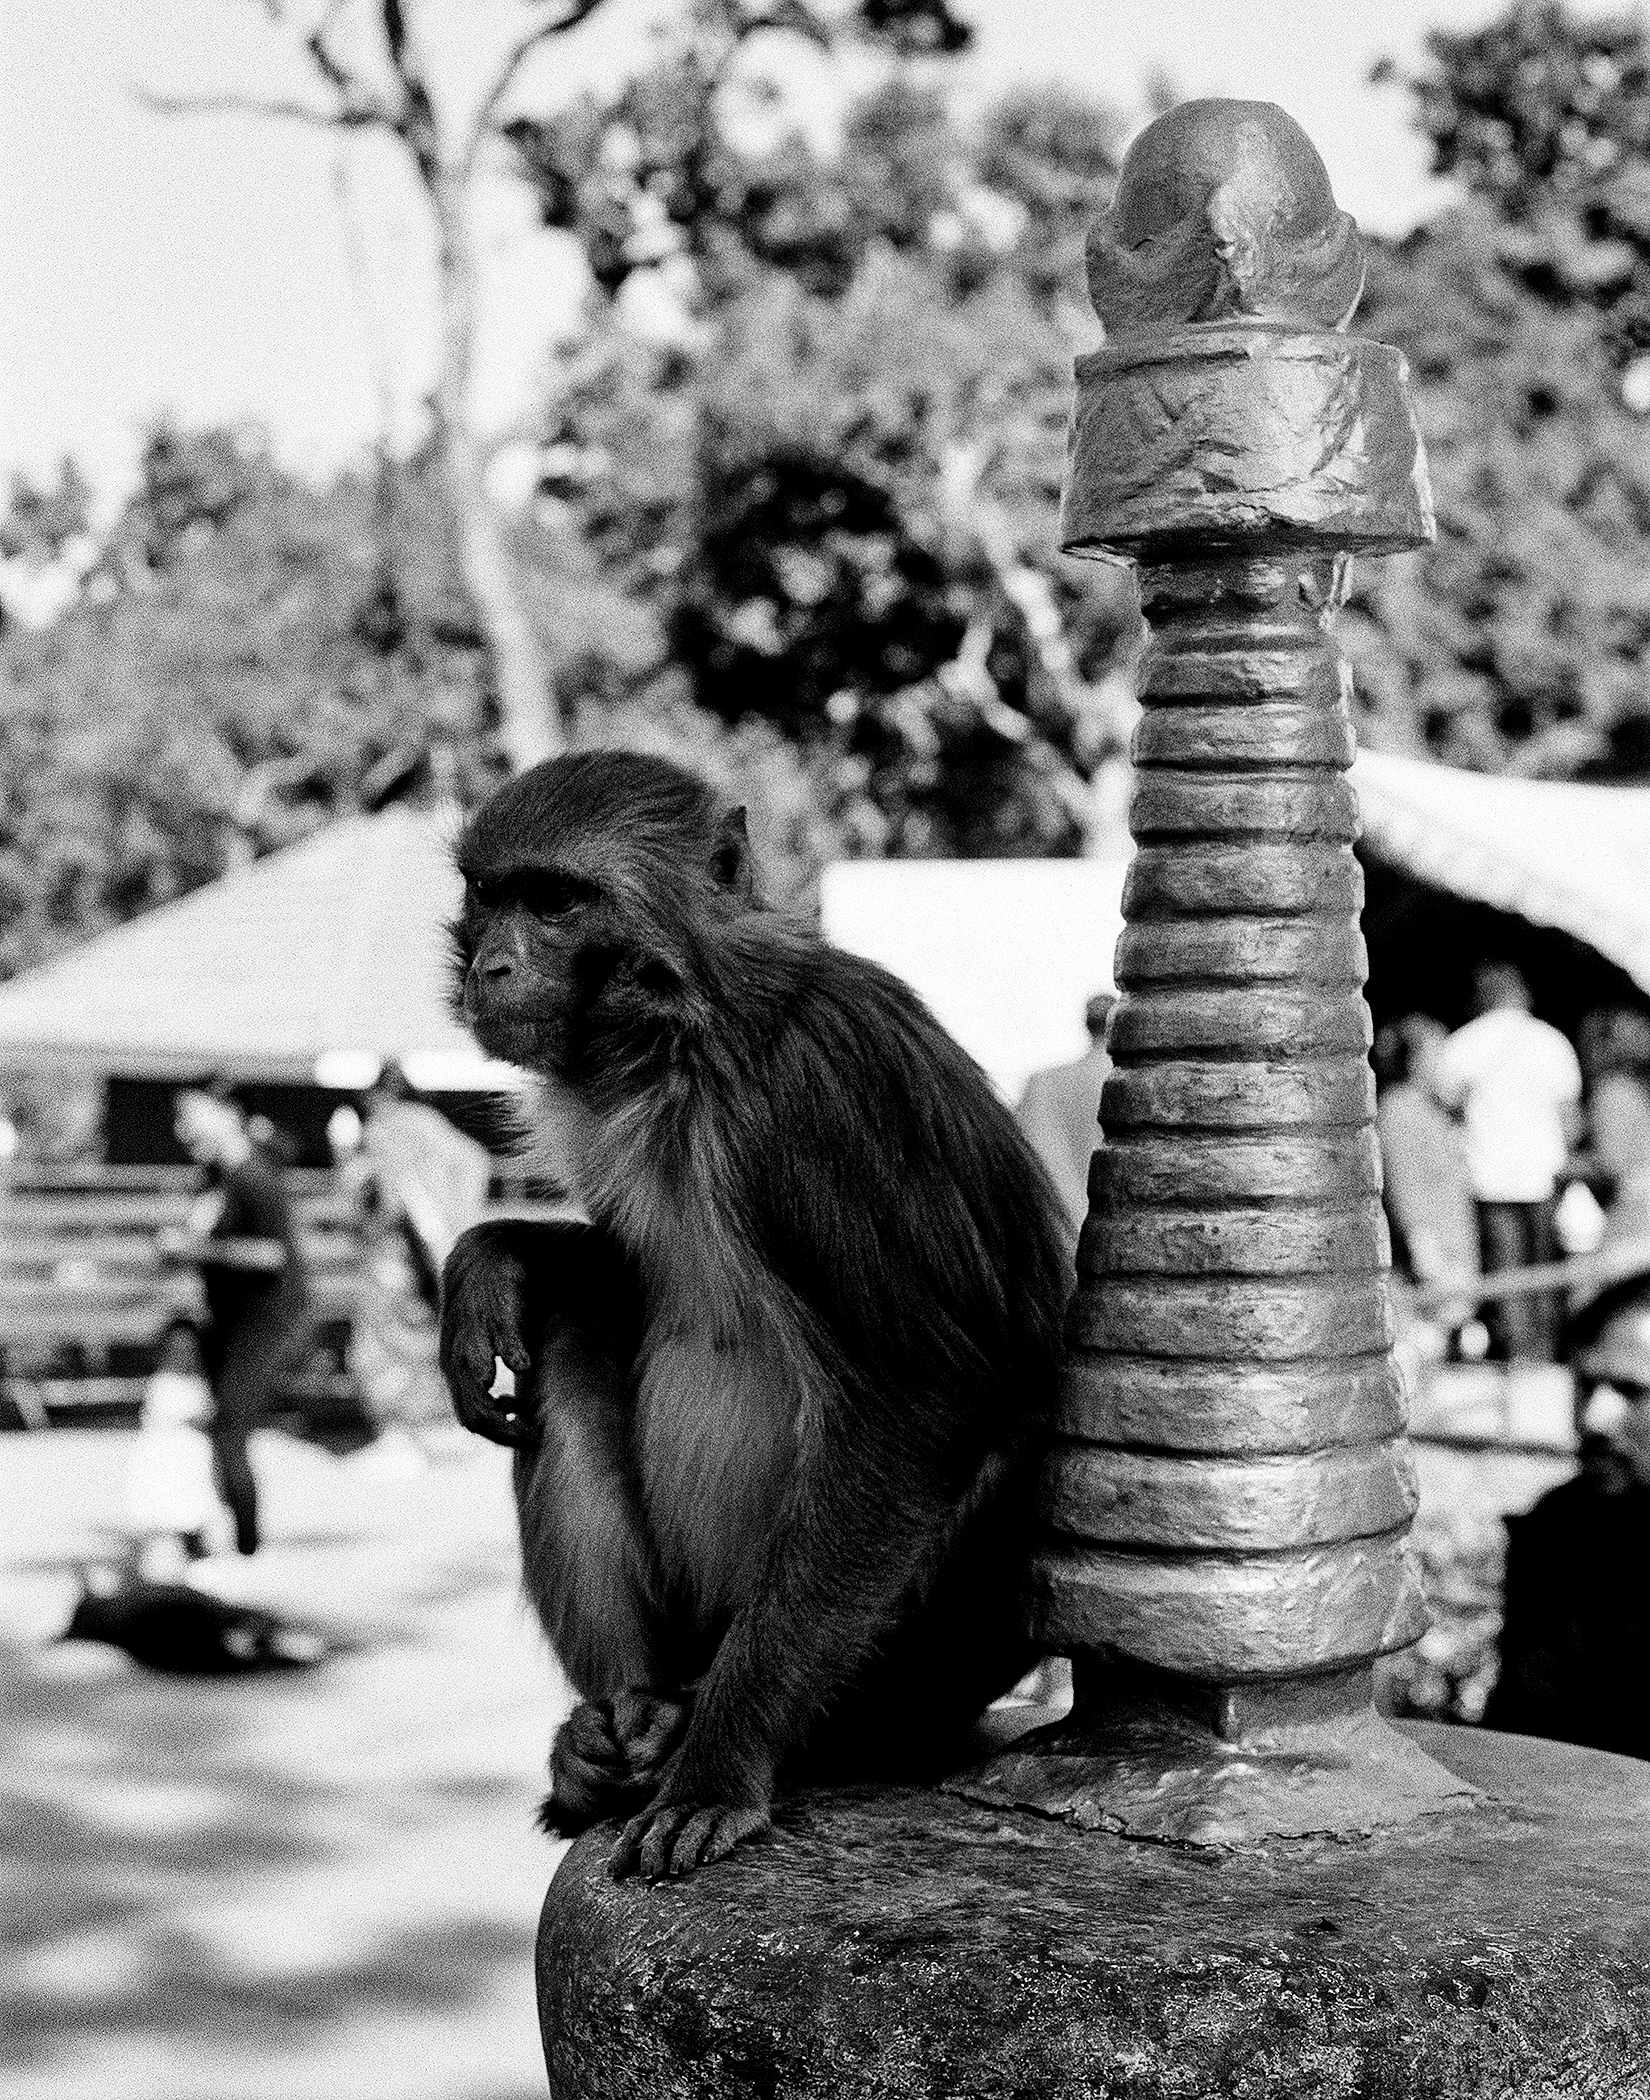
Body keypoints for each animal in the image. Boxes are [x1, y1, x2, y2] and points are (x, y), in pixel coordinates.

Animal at [439, 751, 1068, 1882]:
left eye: (555, 902)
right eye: (490, 894)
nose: (494, 968)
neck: (687, 1033)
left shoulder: (818, 1098)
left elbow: (917, 1397)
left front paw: (719, 1771)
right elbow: (622, 1277)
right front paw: (490, 1259)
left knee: (1015, 1435)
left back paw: (750, 1736)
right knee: (572, 1325)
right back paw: (618, 1732)